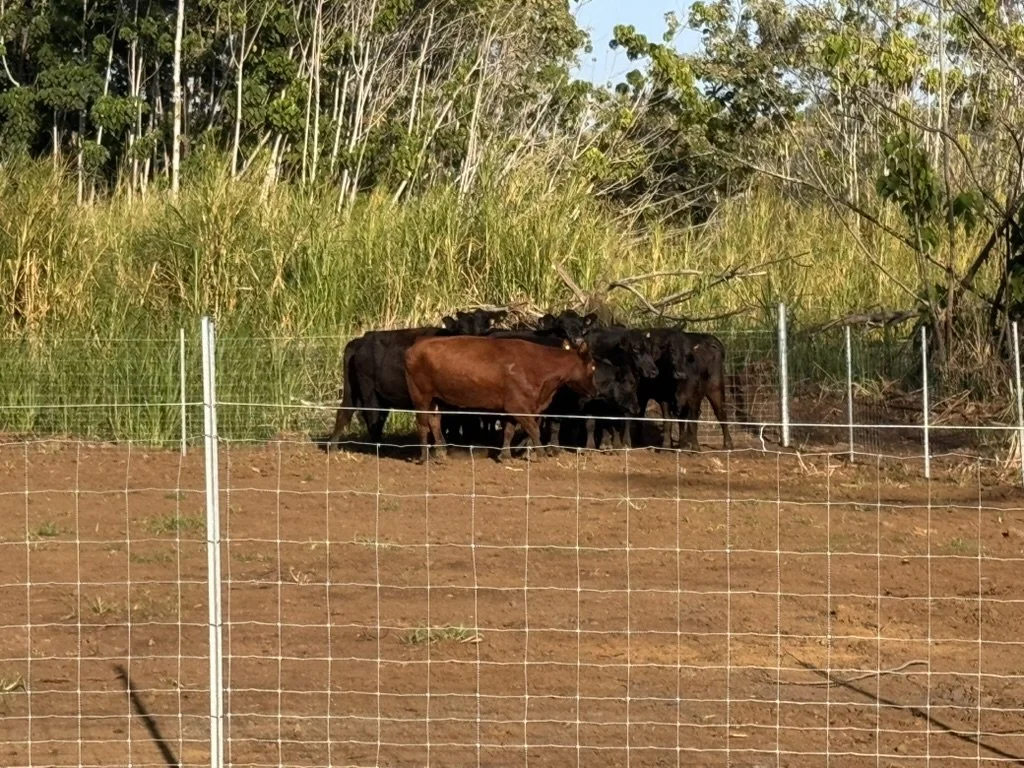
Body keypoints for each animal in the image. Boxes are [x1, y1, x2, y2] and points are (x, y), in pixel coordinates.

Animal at [404, 336, 598, 463]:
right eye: (592, 366)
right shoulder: (519, 406)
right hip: (420, 396)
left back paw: (441, 454)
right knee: (422, 424)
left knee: (434, 422)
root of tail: (413, 348)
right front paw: (541, 455)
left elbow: (509, 431)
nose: (595, 392)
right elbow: (534, 430)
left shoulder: (512, 408)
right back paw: (424, 457)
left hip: (436, 399)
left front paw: (505, 456)